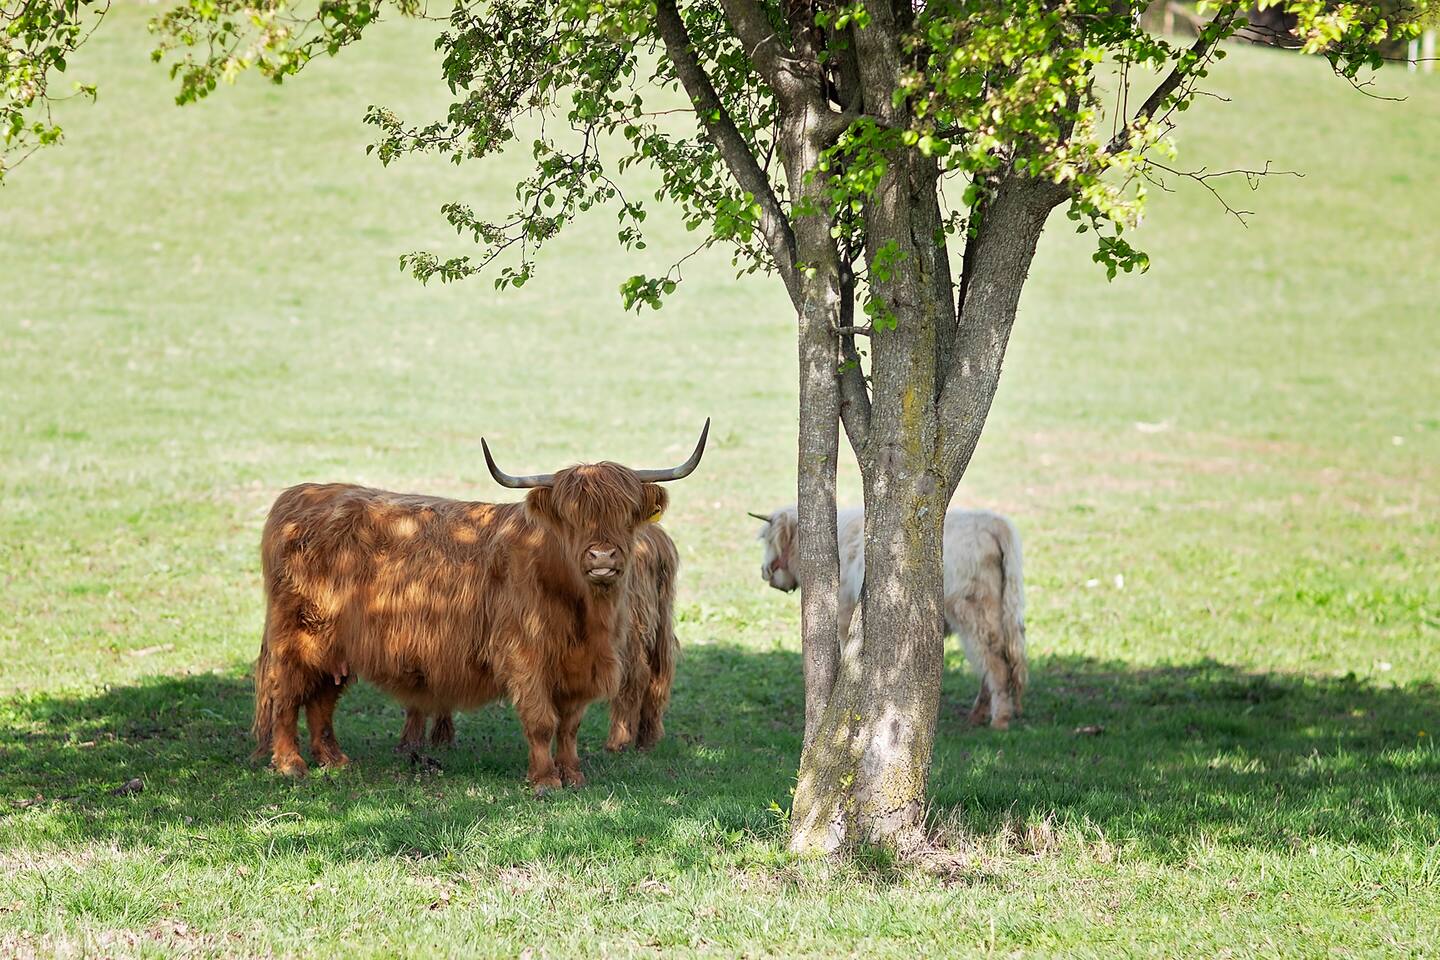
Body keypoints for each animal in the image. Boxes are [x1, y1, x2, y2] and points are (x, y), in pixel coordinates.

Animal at [401, 521, 680, 756]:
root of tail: (656, 539)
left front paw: (419, 738)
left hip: (627, 633)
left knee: (636, 677)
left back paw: (618, 742)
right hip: (659, 626)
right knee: (658, 676)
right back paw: (647, 739)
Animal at [752, 504, 1028, 729]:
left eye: (768, 540)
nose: (764, 572)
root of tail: (991, 520)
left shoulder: (845, 612)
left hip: (973, 615)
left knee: (995, 663)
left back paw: (999, 720)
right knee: (990, 664)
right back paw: (978, 715)